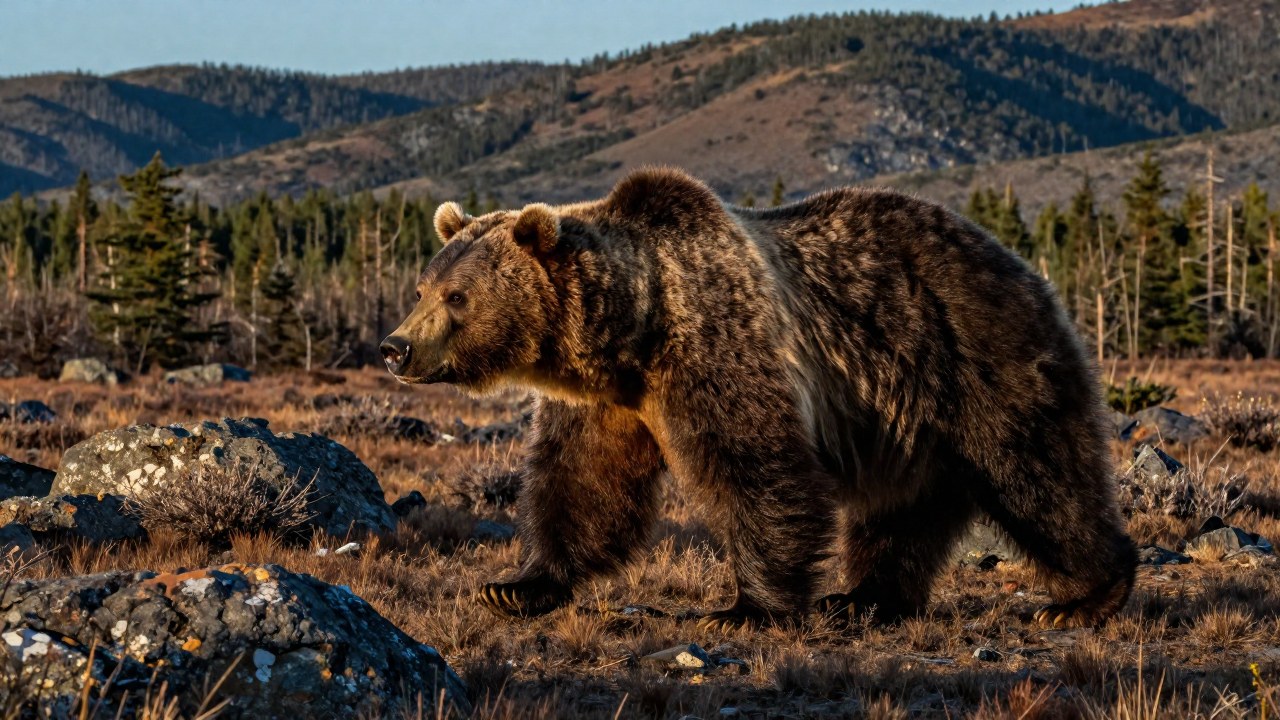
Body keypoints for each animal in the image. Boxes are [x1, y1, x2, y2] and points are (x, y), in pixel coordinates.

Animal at [380, 167, 1137, 632]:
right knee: (900, 508)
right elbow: (580, 484)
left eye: (458, 296)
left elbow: (757, 467)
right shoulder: (609, 402)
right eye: (422, 285)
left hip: (972, 355)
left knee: (1036, 473)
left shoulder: (716, 344)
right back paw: (862, 598)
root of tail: (1018, 260)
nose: (395, 347)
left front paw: (745, 608)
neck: (632, 332)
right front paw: (515, 585)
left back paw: (1085, 595)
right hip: (904, 420)